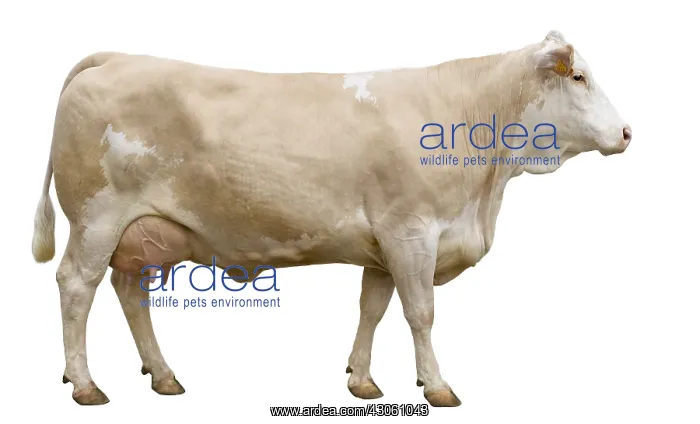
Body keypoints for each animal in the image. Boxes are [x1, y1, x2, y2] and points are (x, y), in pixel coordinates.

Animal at [32, 30, 631, 407]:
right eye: (578, 76)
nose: (626, 132)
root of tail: (116, 57)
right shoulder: (411, 231)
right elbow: (421, 314)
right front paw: (436, 385)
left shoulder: (384, 245)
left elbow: (373, 309)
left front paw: (361, 379)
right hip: (97, 217)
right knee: (76, 286)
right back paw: (85, 384)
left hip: (139, 232)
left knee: (130, 292)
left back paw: (163, 375)